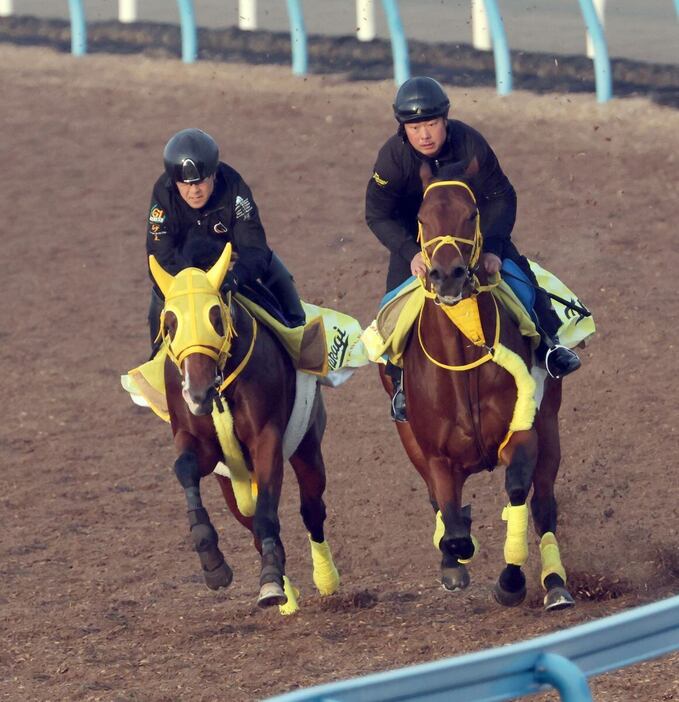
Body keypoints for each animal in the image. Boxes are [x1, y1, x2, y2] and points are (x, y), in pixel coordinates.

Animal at [149, 245, 340, 612]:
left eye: (216, 317)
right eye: (170, 323)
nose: (197, 392)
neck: (221, 389)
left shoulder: (267, 439)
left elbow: (268, 511)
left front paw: (270, 585)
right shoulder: (201, 445)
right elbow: (186, 468)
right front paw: (211, 561)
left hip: (307, 445)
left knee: (311, 509)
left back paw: (323, 580)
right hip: (230, 480)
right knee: (250, 521)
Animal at [382, 164, 572, 612]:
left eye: (471, 214)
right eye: (422, 217)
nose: (447, 274)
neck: (462, 365)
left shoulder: (524, 431)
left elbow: (518, 492)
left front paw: (511, 582)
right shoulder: (433, 455)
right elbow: (451, 521)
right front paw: (455, 557)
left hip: (550, 424)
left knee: (543, 505)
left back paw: (555, 583)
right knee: (441, 508)